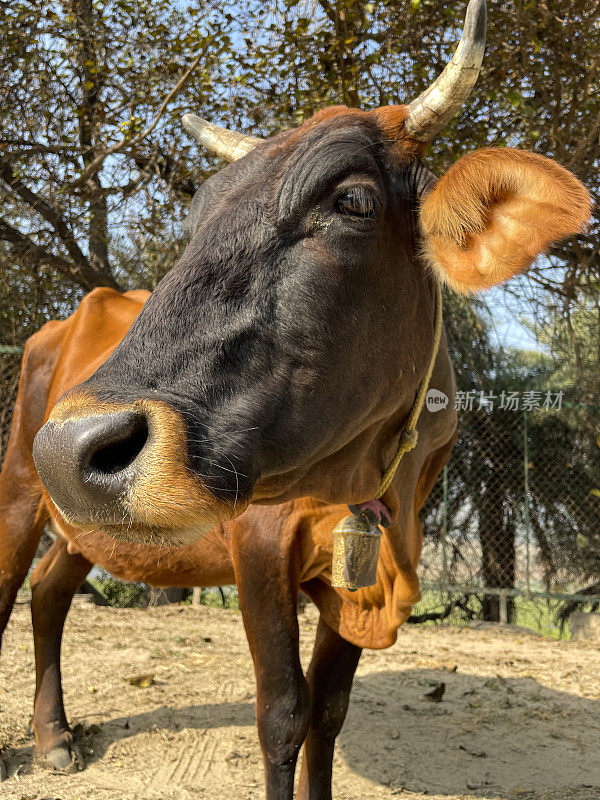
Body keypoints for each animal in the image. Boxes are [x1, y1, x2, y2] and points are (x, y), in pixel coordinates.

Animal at [3, 0, 592, 796]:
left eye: (353, 200)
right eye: (195, 224)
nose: (73, 446)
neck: (369, 476)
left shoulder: (365, 561)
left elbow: (329, 711)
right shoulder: (258, 544)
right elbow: (283, 714)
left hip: (81, 521)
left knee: (48, 591)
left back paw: (55, 737)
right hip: (20, 488)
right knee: (11, 585)